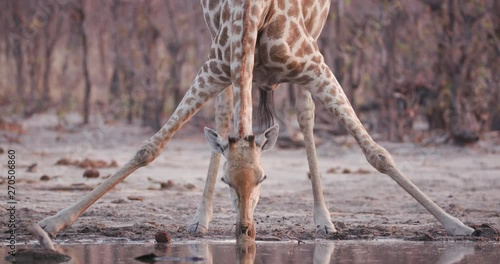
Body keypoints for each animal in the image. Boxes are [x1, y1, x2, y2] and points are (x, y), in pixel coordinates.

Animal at [31, 0, 472, 248]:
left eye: (263, 178)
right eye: (229, 181)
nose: (244, 230)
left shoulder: (315, 64)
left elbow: (377, 153)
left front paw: (458, 225)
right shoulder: (214, 65)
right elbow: (150, 147)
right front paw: (52, 223)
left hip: (313, 43)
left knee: (306, 117)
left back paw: (324, 221)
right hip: (228, 67)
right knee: (224, 115)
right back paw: (201, 220)